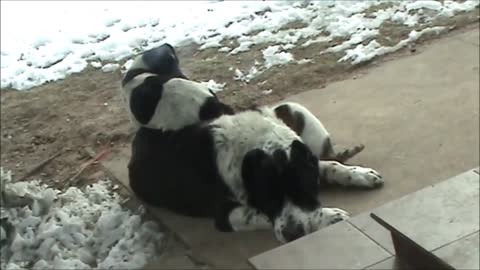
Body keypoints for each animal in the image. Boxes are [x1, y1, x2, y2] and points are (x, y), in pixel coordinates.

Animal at [121, 43, 382, 243]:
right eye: (267, 198)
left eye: (301, 187)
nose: (293, 235)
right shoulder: (224, 214)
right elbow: (259, 215)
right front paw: (328, 216)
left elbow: (328, 166)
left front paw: (358, 174)